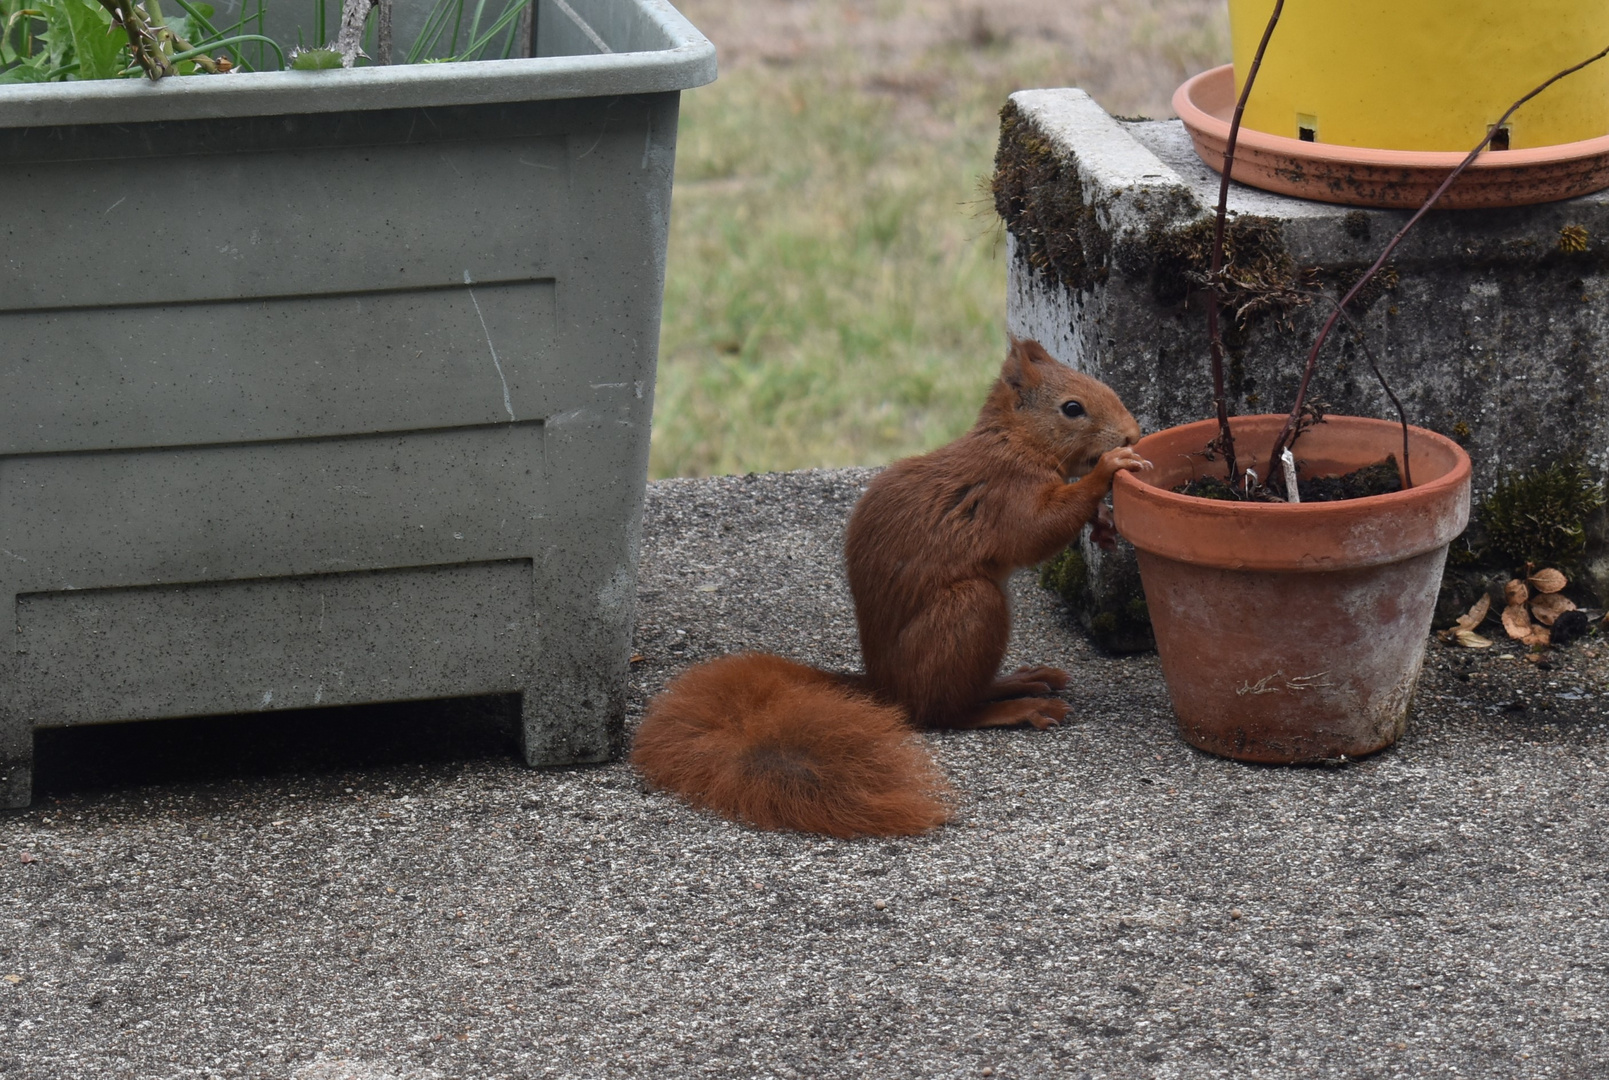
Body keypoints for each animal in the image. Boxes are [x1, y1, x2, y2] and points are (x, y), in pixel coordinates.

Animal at [627, 336, 1145, 836]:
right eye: (1072, 408)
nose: (1133, 434)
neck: (1017, 441)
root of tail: (883, 685)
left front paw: (1103, 524)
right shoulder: (1005, 492)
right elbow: (1037, 530)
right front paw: (1108, 471)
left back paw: (1016, 681)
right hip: (970, 609)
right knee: (939, 712)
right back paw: (1014, 707)